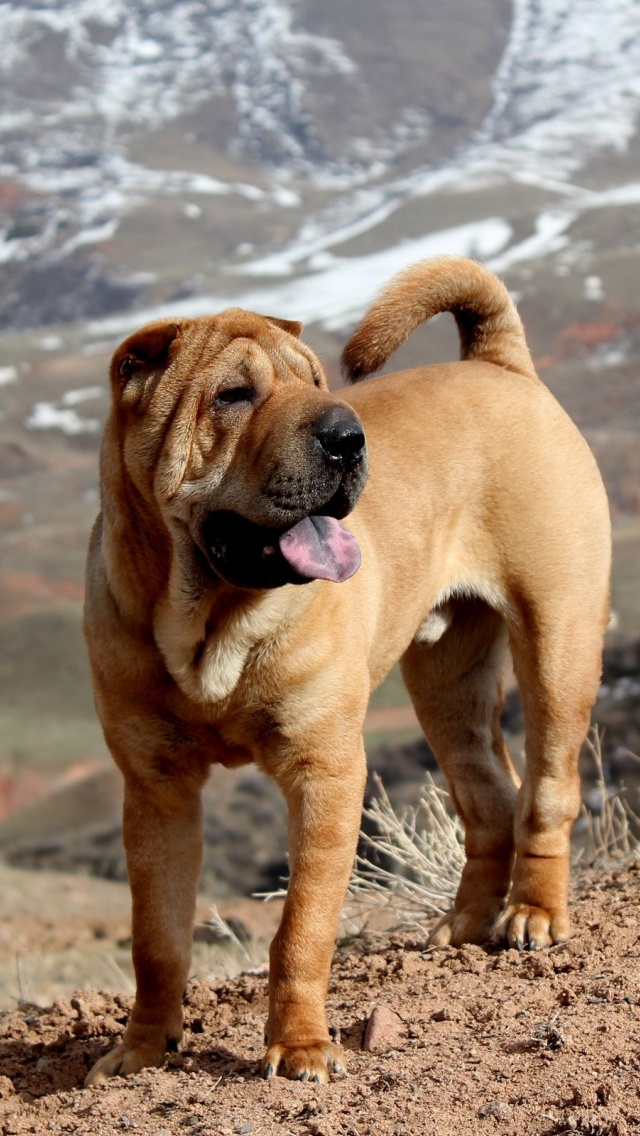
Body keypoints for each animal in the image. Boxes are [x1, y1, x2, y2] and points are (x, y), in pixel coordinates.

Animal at [84, 255, 609, 1081]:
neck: (210, 624)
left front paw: (300, 1048)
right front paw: (139, 1050)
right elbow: (156, 938)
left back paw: (533, 914)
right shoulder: (157, 790)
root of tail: (501, 366)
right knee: (489, 797)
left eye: (316, 382)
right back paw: (464, 926)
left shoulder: (323, 770)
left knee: (549, 788)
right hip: (447, 685)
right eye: (233, 395)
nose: (346, 437)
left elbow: (301, 926)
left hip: (559, 643)